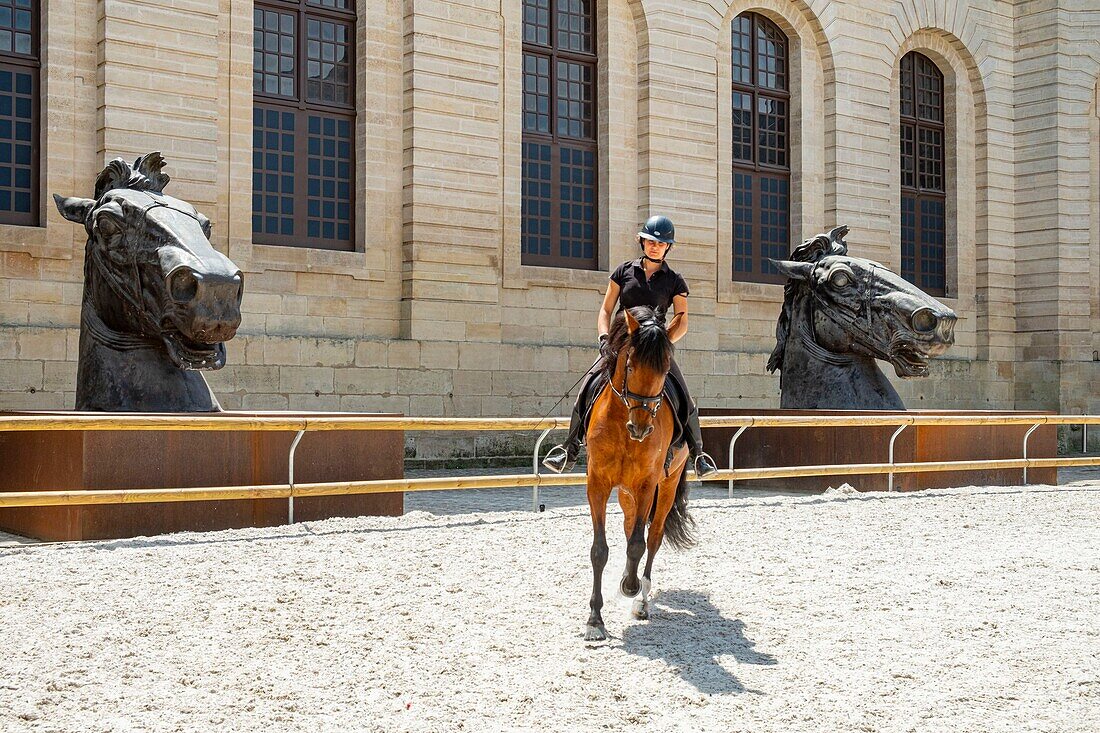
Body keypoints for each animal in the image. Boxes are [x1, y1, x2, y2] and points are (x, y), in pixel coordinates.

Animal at [585, 305, 695, 638]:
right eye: (630, 367)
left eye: (664, 371)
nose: (641, 428)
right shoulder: (598, 483)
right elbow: (600, 549)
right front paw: (594, 620)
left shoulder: (647, 484)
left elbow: (638, 544)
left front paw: (631, 587)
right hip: (625, 491)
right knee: (629, 524)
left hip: (667, 485)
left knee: (654, 536)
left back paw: (641, 600)